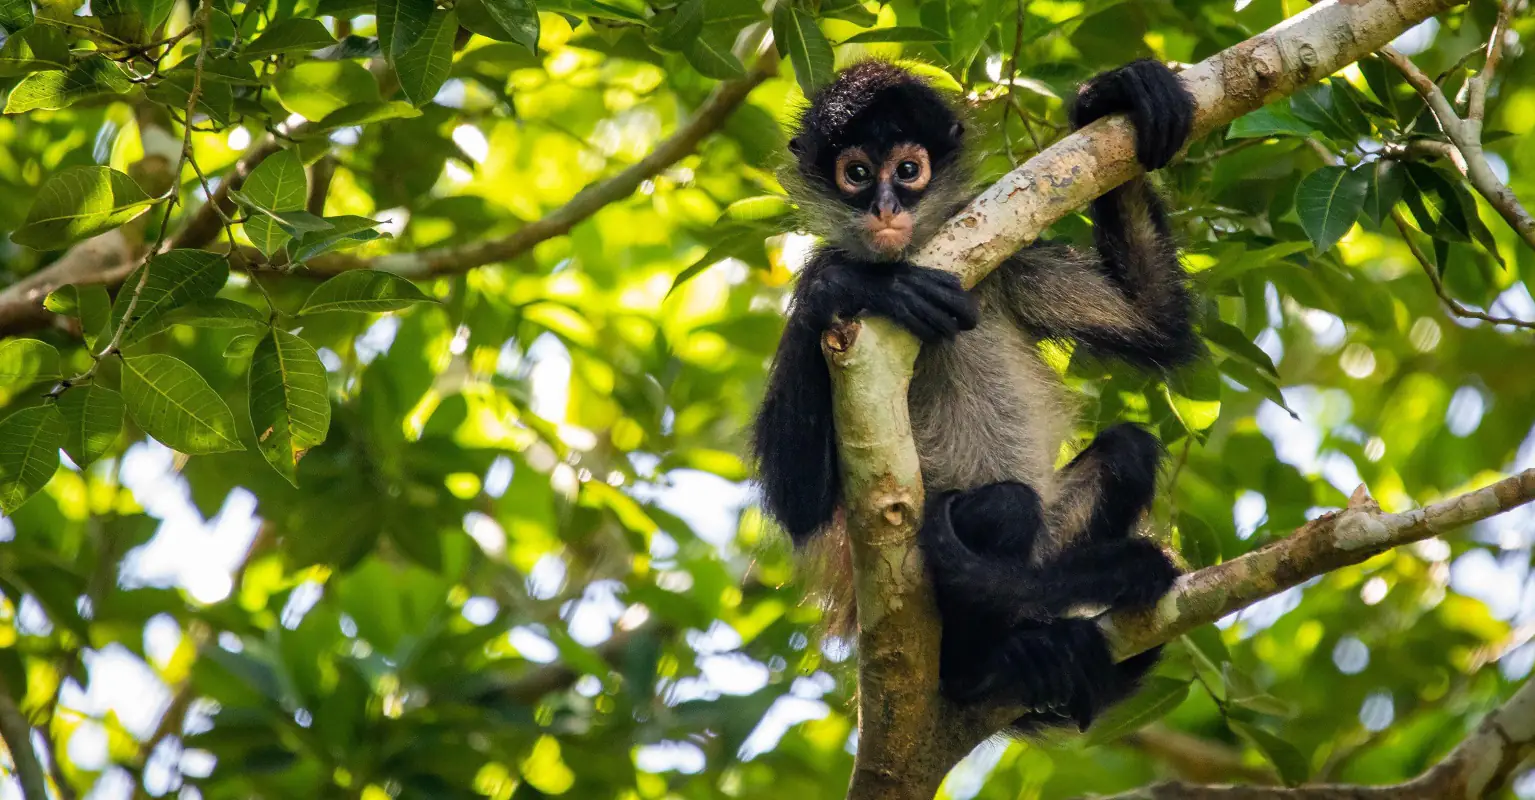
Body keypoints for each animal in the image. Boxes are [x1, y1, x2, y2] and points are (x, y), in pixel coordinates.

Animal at [751, 58, 1203, 733]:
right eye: (856, 174)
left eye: (907, 171)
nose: (885, 206)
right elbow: (800, 504)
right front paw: (849, 285)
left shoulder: (1010, 263)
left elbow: (1156, 322)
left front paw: (1112, 95)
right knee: (1007, 507)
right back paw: (978, 668)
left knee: (1126, 452)